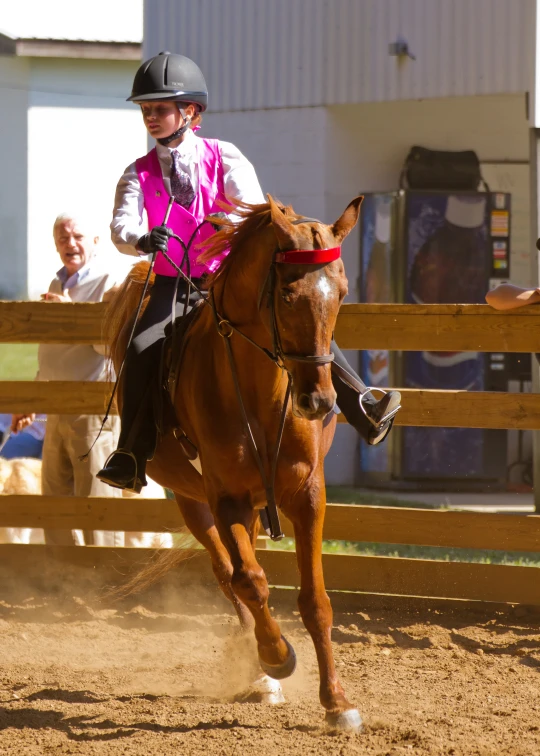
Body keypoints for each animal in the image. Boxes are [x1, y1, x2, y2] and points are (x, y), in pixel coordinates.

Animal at [104, 195, 368, 732]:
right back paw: (262, 671)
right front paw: (276, 658)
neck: (261, 397)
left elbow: (316, 601)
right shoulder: (224, 498)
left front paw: (337, 703)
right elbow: (250, 580)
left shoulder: (307, 496)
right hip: (193, 500)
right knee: (229, 575)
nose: (318, 402)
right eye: (287, 294)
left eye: (342, 293)